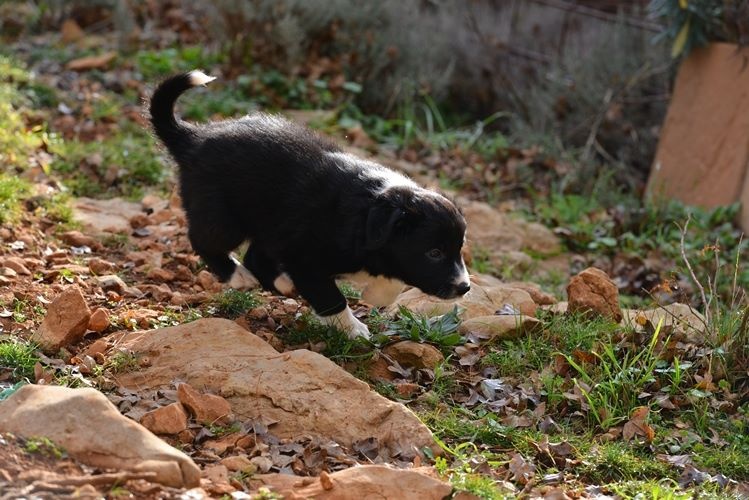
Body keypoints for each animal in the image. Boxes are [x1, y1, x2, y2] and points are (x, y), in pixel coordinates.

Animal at [149, 71, 470, 340]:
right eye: (434, 253)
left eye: (459, 248)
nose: (464, 287)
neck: (368, 212)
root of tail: (193, 138)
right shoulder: (306, 258)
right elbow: (331, 297)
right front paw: (354, 330)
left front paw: (376, 295)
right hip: (224, 216)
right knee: (204, 240)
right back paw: (237, 276)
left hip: (271, 224)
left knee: (256, 256)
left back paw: (282, 283)